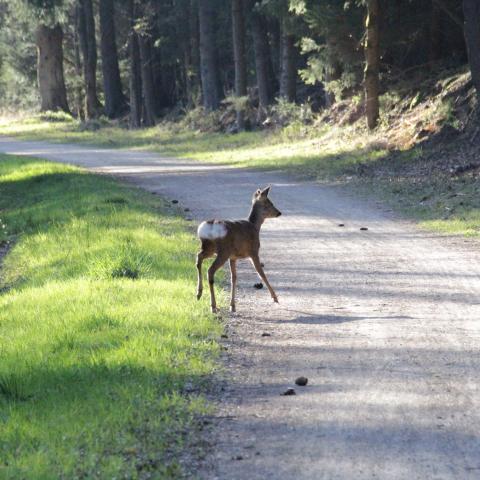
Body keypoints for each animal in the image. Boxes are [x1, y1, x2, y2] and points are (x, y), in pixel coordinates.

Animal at [196, 186, 282, 314]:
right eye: (269, 203)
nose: (279, 213)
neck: (255, 226)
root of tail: (210, 226)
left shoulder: (233, 257)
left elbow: (234, 278)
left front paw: (232, 306)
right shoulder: (253, 251)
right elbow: (261, 274)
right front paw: (275, 298)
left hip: (209, 248)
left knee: (198, 258)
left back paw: (199, 293)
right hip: (223, 251)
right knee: (210, 270)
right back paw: (213, 306)